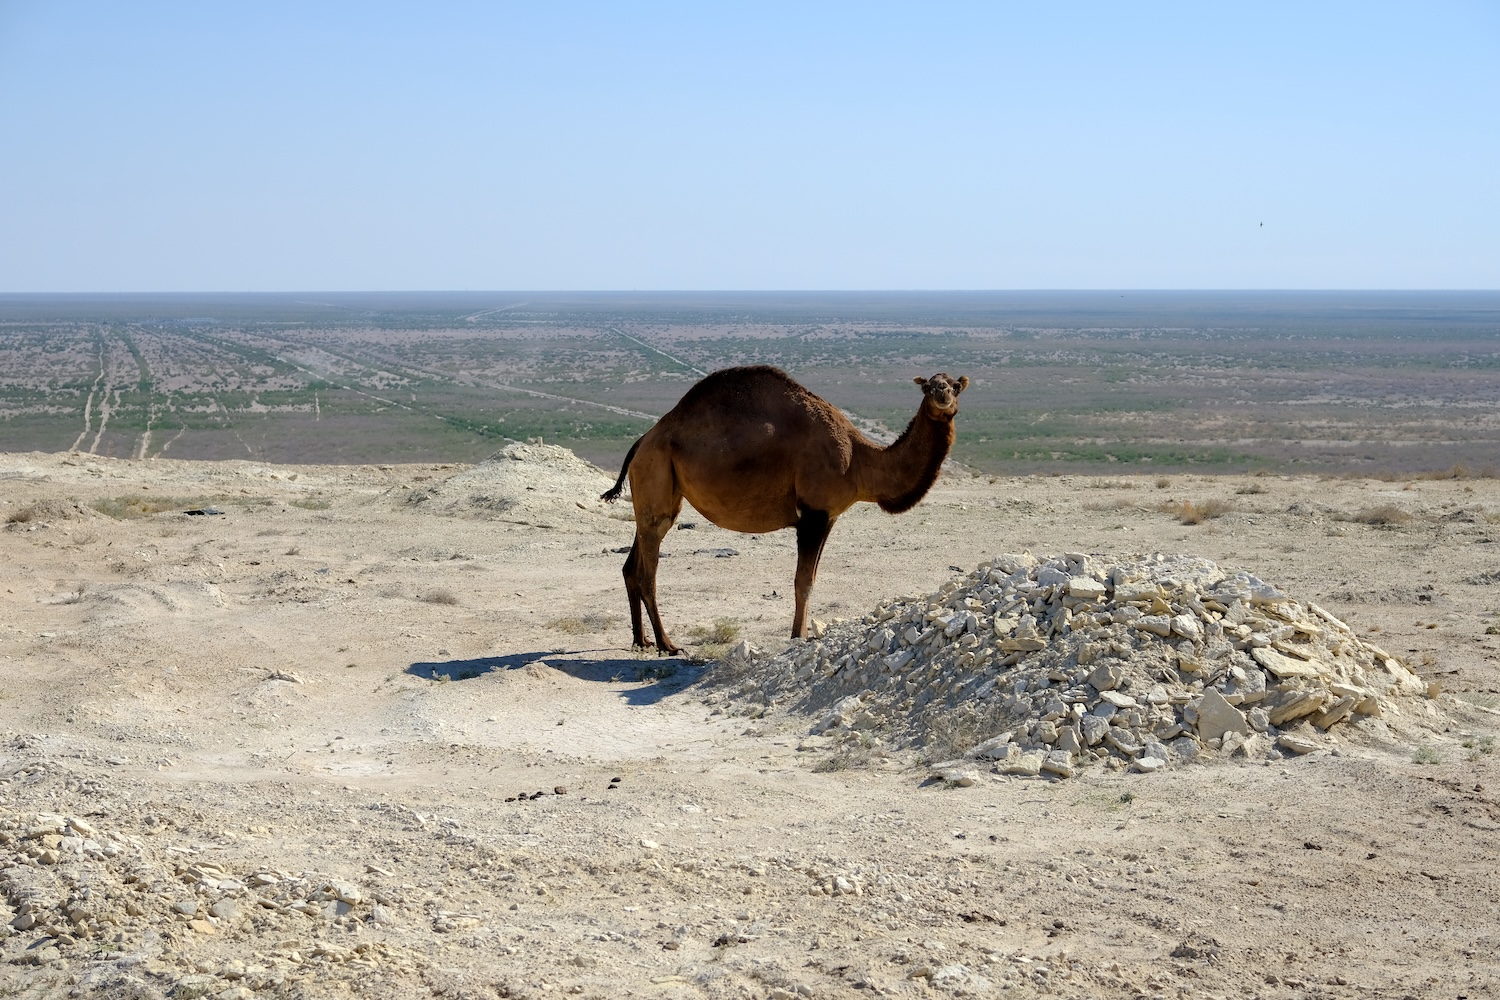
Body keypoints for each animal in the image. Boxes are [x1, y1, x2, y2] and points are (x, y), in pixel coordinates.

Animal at [603, 364, 966, 653]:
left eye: (955, 385)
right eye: (928, 386)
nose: (942, 395)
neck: (859, 460)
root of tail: (644, 440)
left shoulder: (829, 517)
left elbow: (812, 578)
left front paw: (803, 633)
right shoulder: (813, 514)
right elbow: (802, 581)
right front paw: (798, 637)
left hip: (659, 491)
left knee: (634, 560)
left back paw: (641, 640)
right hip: (656, 469)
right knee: (648, 571)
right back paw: (667, 644)